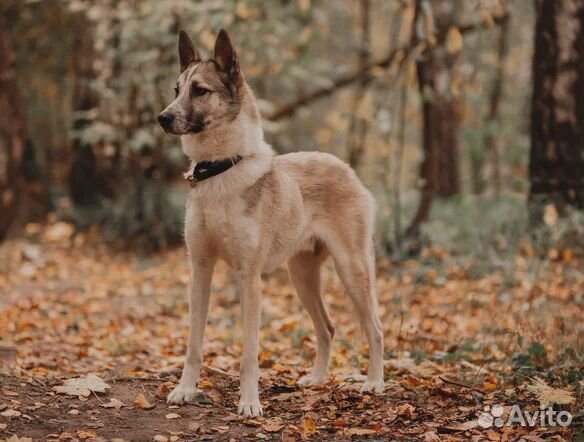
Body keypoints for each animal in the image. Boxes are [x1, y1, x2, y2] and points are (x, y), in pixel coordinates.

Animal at [157, 29, 384, 416]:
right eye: (176, 90)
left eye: (200, 90)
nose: (162, 118)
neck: (220, 169)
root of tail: (345, 167)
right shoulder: (200, 270)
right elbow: (193, 344)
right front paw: (185, 389)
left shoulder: (249, 278)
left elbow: (249, 352)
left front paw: (249, 402)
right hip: (302, 277)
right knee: (327, 328)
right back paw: (317, 379)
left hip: (352, 271)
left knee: (375, 329)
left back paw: (374, 383)